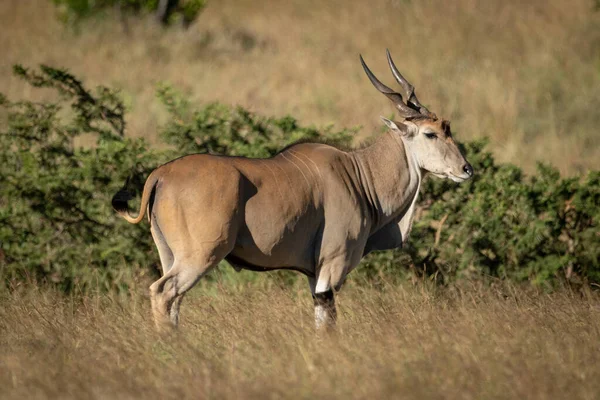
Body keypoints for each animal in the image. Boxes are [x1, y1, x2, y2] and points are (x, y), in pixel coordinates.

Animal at [110, 50, 472, 332]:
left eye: (448, 128)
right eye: (430, 133)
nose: (466, 169)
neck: (359, 174)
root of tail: (160, 174)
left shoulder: (315, 277)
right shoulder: (330, 270)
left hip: (169, 255)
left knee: (172, 302)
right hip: (198, 257)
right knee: (163, 293)